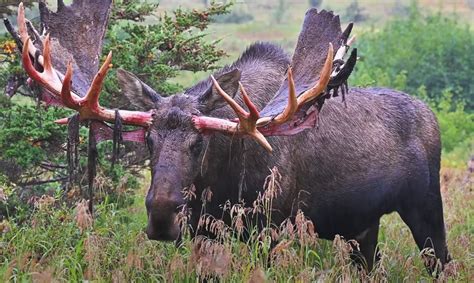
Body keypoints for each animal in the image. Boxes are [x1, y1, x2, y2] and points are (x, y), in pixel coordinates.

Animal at [9, 1, 450, 274]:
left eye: (199, 142)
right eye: (148, 140)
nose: (162, 215)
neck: (222, 181)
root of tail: (432, 117)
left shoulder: (274, 229)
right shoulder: (204, 234)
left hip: (426, 208)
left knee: (443, 262)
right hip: (362, 229)